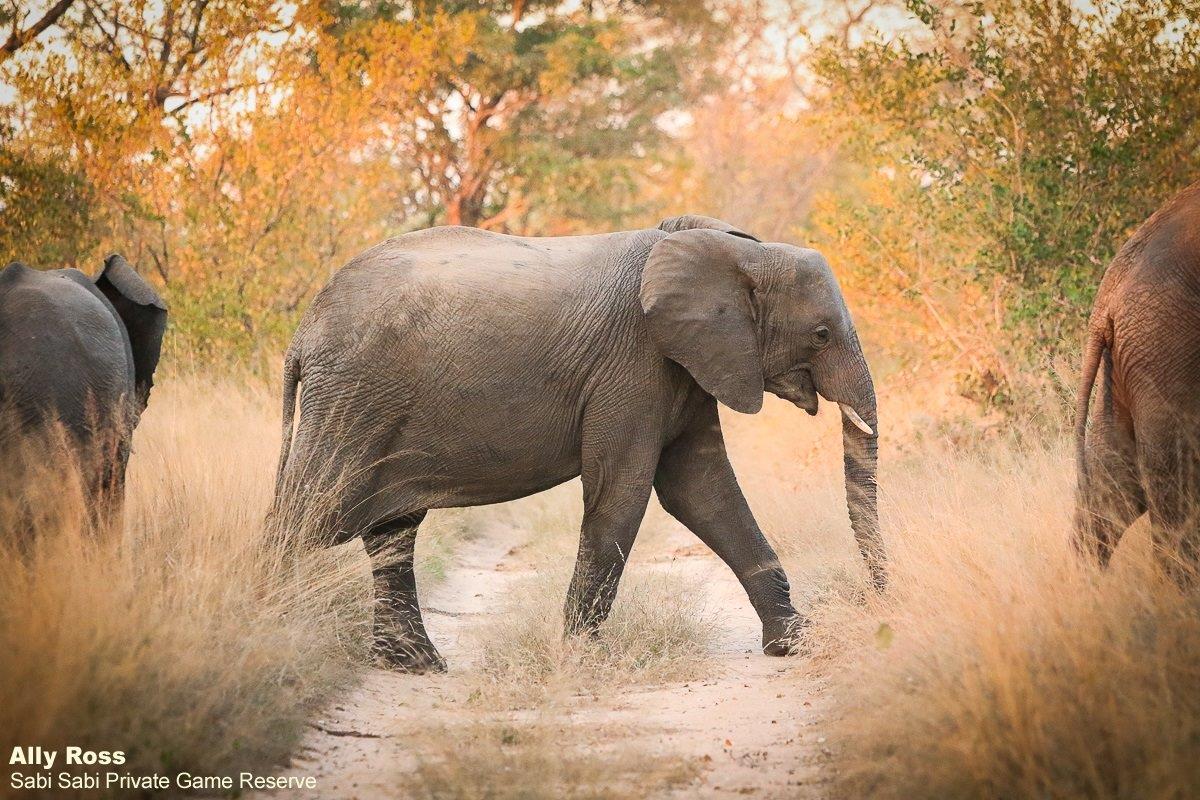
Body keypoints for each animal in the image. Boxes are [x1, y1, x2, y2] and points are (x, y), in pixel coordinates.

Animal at [273, 215, 882, 673]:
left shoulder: (685, 367)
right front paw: (581, 658)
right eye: (821, 334)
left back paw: (415, 666)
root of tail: (302, 333)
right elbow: (626, 492)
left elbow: (703, 491)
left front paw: (796, 643)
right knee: (308, 515)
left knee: (392, 532)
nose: (879, 604)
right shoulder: (633, 365)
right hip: (353, 399)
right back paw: (270, 630)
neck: (734, 251)